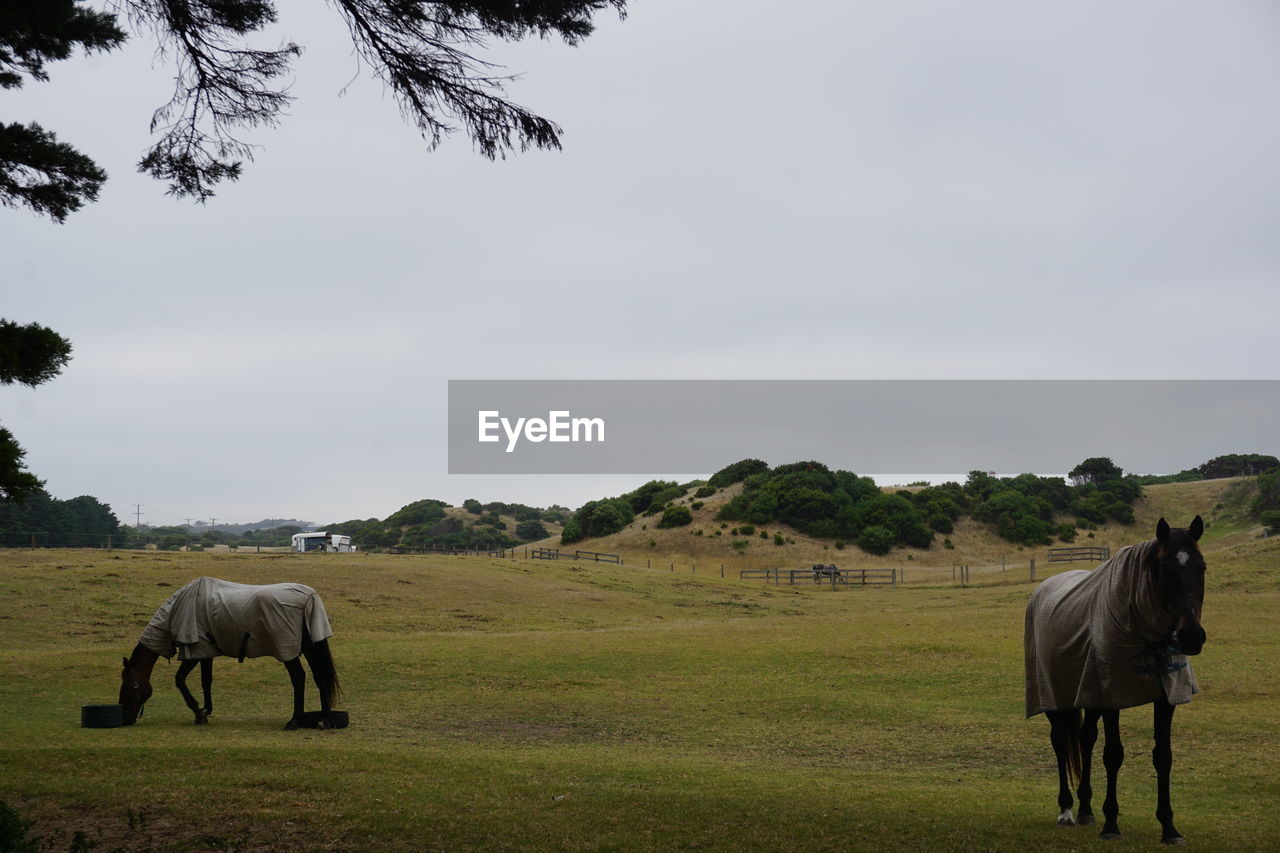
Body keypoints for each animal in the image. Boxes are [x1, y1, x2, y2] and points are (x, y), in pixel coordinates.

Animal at [118, 573, 340, 727]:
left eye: (128, 686)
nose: (126, 718)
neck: (179, 608)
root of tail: (309, 598)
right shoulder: (205, 651)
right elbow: (206, 680)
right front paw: (206, 710)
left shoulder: (194, 651)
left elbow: (180, 680)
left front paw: (197, 711)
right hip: (310, 647)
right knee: (320, 677)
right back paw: (323, 721)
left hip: (288, 650)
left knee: (299, 678)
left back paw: (294, 721)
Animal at [1024, 514, 1203, 840]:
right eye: (1165, 570)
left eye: (1202, 567)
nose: (1191, 636)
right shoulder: (1112, 696)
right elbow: (1113, 754)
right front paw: (1111, 823)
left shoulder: (1166, 695)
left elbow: (1163, 755)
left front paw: (1169, 827)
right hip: (1053, 695)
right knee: (1060, 741)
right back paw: (1066, 810)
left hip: (1087, 695)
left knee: (1085, 739)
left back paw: (1085, 809)